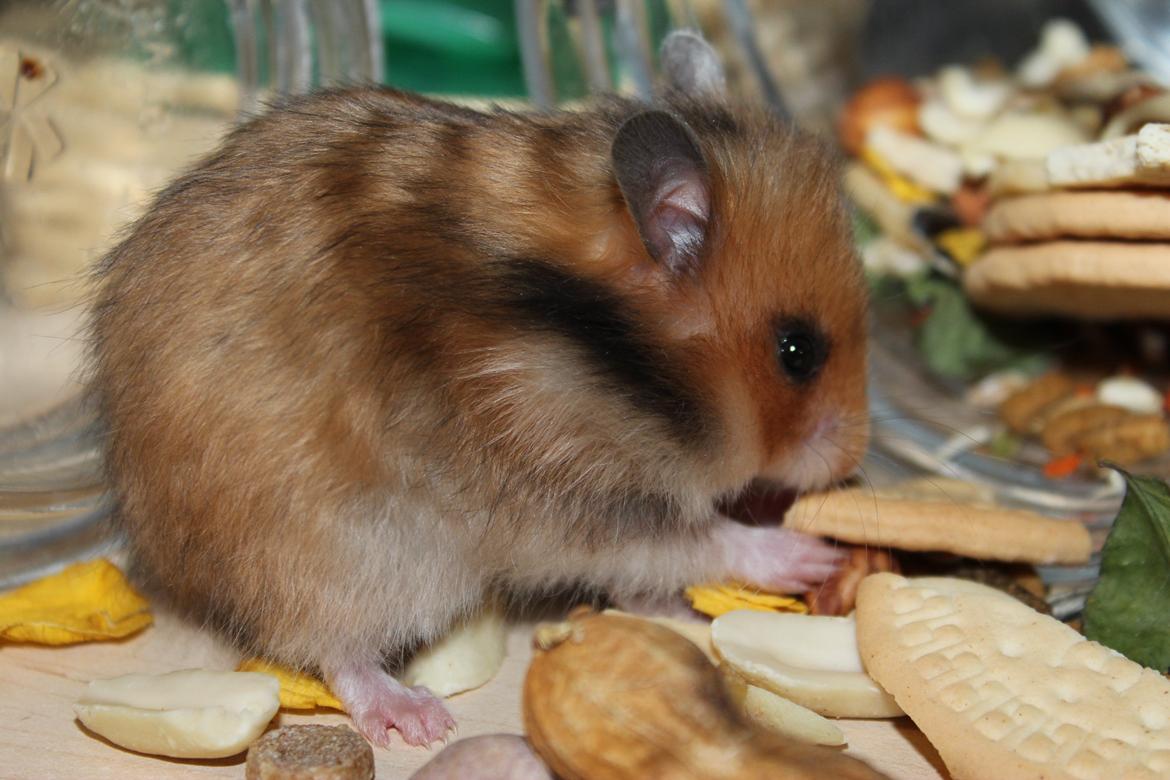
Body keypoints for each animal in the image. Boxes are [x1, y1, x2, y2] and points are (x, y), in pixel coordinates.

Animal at [87, 33, 869, 747]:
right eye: (797, 353)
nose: (849, 463)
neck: (613, 358)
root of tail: (162, 562)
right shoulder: (578, 497)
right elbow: (699, 539)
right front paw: (812, 554)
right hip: (351, 557)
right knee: (330, 648)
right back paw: (419, 720)